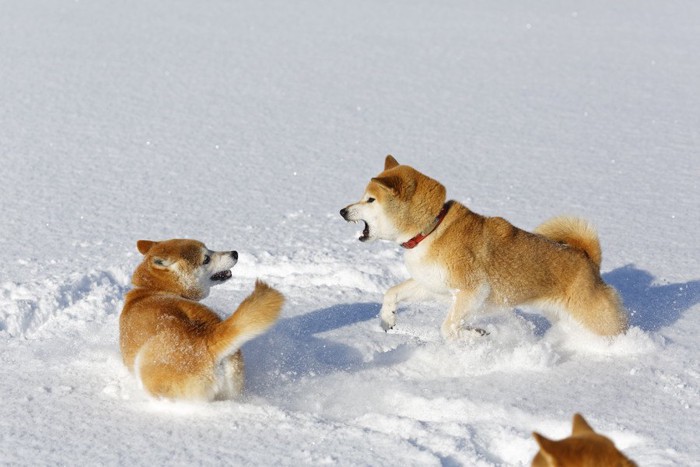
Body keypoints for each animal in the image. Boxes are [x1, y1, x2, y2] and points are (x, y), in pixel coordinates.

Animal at [340, 155, 628, 338]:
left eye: (370, 199)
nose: (342, 211)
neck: (431, 229)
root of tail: (589, 261)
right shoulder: (433, 285)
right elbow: (392, 293)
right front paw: (388, 318)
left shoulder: (473, 291)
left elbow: (448, 327)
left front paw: (475, 337)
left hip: (597, 320)